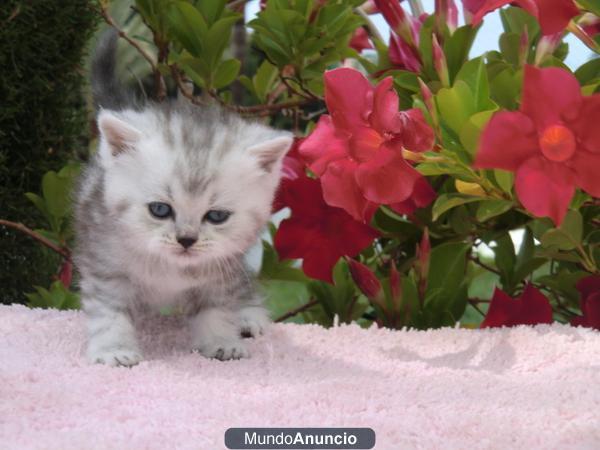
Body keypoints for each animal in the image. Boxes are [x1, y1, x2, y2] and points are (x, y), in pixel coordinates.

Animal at [75, 30, 292, 366]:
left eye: (216, 216)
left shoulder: (222, 267)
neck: (170, 268)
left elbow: (217, 308)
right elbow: (110, 312)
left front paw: (221, 342)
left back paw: (248, 317)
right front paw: (114, 349)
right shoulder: (104, 263)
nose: (186, 240)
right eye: (159, 209)